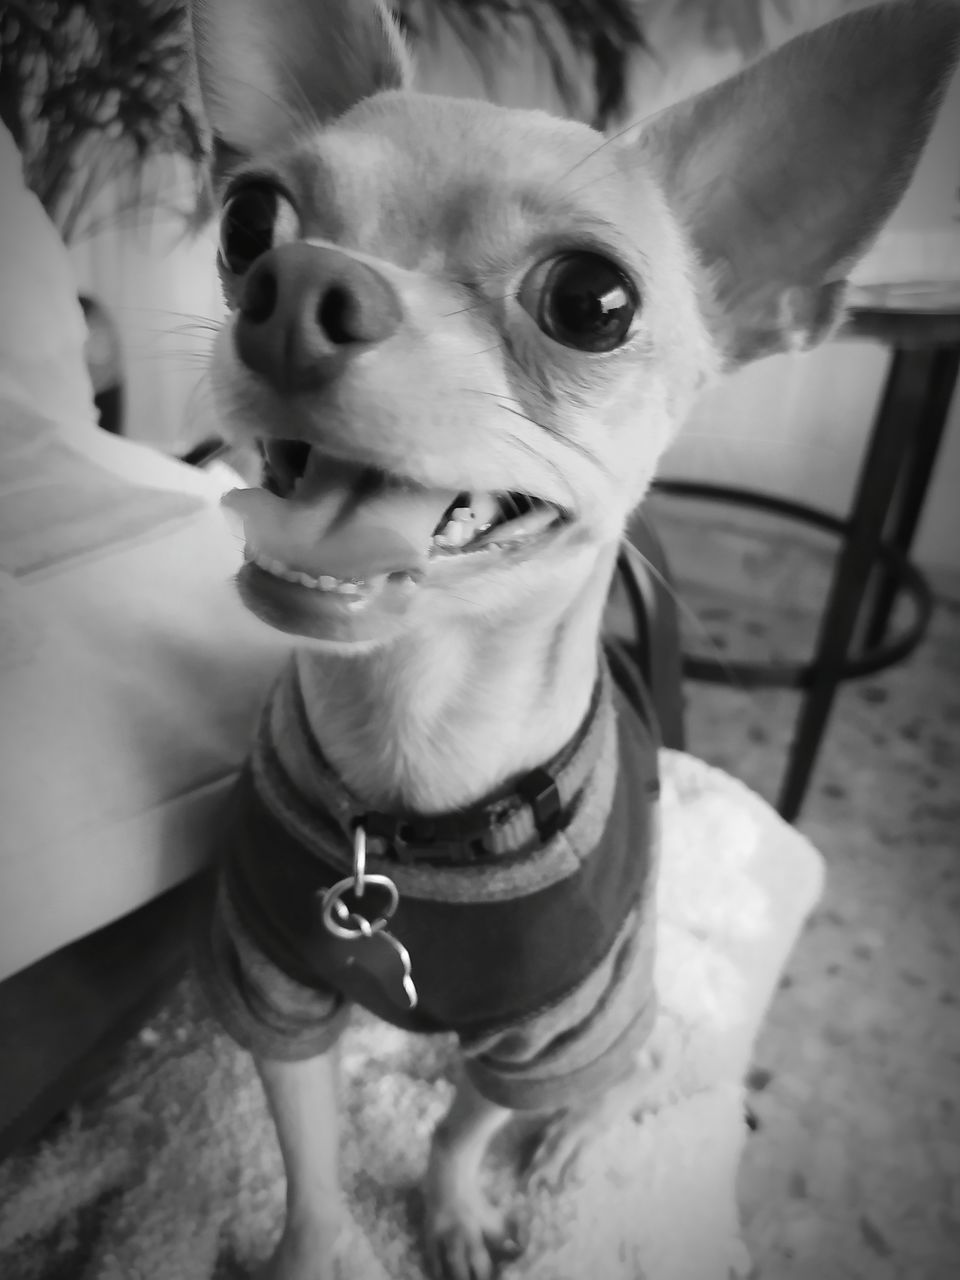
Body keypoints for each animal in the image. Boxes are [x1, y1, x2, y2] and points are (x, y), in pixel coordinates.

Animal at [188, 5, 960, 1274]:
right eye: (250, 221)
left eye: (593, 301)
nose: (293, 286)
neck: (413, 792)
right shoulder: (274, 987)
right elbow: (308, 1160)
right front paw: (318, 1249)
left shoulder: (553, 1030)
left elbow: (461, 1124)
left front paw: (455, 1212)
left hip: (625, 1003)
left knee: (619, 1074)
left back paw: (565, 1142)